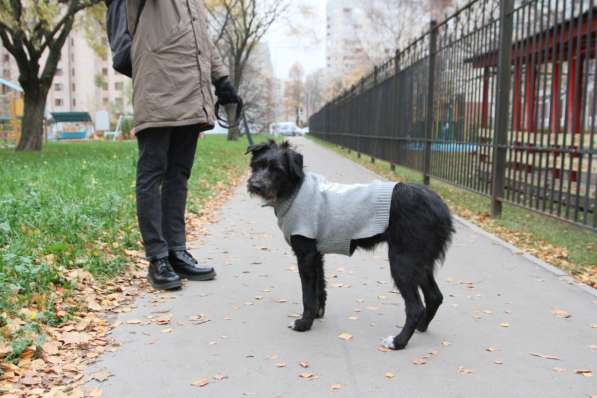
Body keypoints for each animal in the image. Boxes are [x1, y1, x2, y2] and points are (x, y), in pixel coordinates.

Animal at [244, 141, 454, 352]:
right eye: (257, 165)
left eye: (277, 170)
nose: (255, 185)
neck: (295, 191)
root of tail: (441, 208)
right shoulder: (316, 254)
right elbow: (320, 287)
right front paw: (317, 315)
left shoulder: (305, 255)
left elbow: (307, 295)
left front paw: (304, 323)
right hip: (420, 262)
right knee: (435, 296)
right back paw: (421, 327)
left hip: (403, 262)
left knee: (415, 307)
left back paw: (398, 342)